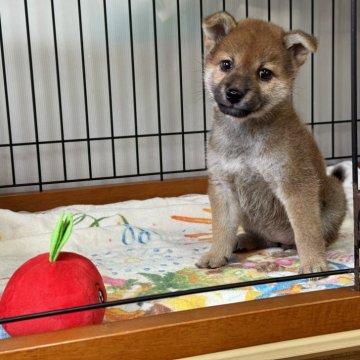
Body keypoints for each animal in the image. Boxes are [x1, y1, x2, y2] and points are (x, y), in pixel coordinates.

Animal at [197, 12, 346, 274]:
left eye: (264, 73)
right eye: (227, 65)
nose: (234, 93)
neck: (245, 135)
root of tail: (279, 240)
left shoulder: (295, 183)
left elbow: (307, 231)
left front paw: (313, 262)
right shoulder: (222, 184)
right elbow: (222, 227)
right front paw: (216, 254)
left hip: (334, 195)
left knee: (317, 236)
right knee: (261, 237)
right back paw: (243, 240)